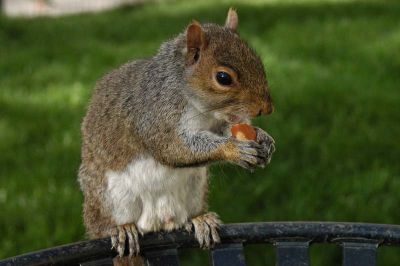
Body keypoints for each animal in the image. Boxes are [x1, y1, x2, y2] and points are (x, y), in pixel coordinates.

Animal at [78, 7, 276, 264]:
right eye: (223, 78)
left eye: (258, 61)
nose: (266, 108)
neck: (199, 107)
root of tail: (157, 221)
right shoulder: (155, 115)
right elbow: (172, 147)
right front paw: (234, 149)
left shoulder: (218, 123)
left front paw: (264, 138)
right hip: (109, 197)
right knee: (107, 223)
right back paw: (122, 229)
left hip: (195, 189)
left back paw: (200, 220)